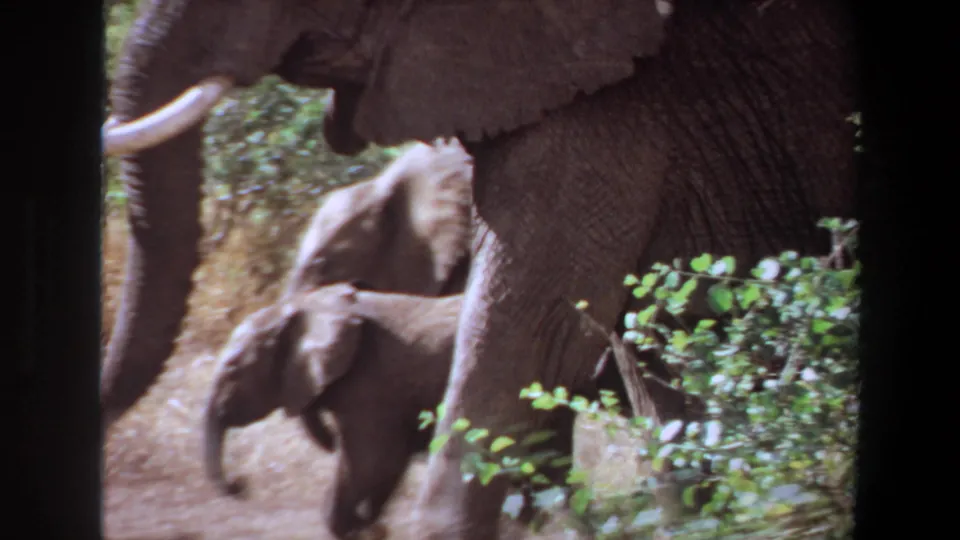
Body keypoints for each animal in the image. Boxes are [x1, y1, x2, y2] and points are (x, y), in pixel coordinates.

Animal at [202, 283, 576, 539]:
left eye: (233, 369)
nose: (240, 485)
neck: (306, 306)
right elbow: (387, 463)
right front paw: (371, 527)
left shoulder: (371, 382)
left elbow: (372, 460)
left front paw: (359, 529)